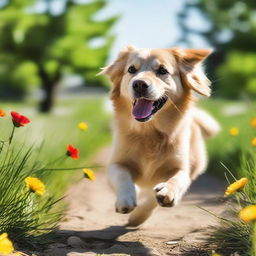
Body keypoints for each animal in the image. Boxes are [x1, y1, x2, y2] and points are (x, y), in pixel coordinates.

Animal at [100, 45, 220, 226]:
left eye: (162, 70)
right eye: (131, 69)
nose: (139, 84)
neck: (150, 132)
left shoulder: (181, 168)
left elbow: (174, 182)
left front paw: (164, 195)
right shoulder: (117, 162)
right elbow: (122, 176)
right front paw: (126, 199)